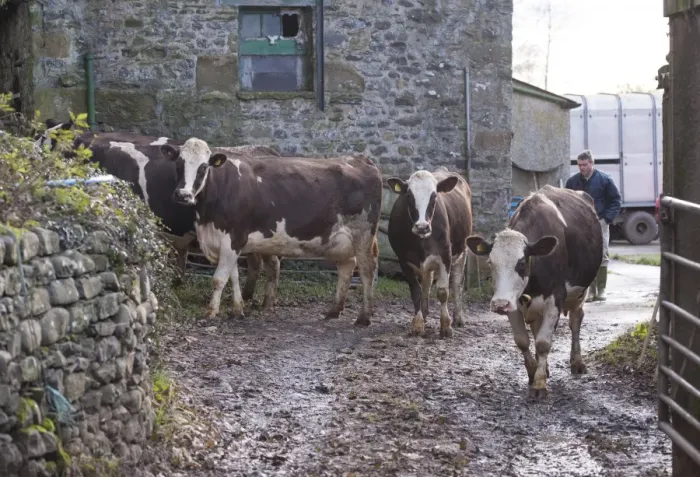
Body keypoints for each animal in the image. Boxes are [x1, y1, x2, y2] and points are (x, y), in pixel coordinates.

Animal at [159, 137, 383, 324]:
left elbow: (219, 279)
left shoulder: (233, 238)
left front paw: (211, 312)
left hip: (363, 234)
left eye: (203, 167)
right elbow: (234, 277)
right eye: (178, 164)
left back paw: (364, 317)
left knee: (367, 269)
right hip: (341, 240)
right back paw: (334, 311)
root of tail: (360, 159)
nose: (183, 195)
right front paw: (237, 310)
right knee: (346, 267)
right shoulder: (227, 241)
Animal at [386, 167, 473, 338]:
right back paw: (425, 315)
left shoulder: (445, 256)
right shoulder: (403, 259)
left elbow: (443, 292)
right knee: (427, 282)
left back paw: (458, 318)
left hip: (462, 251)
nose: (422, 227)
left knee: (457, 283)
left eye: (434, 196)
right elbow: (416, 291)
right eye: (408, 195)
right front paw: (418, 324)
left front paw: (446, 326)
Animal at [466, 185, 603, 399]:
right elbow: (522, 340)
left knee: (575, 321)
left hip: (581, 292)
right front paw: (534, 372)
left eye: (521, 263)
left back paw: (577, 362)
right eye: (490, 262)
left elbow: (543, 342)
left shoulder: (556, 298)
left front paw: (539, 384)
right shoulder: (513, 301)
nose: (498, 304)